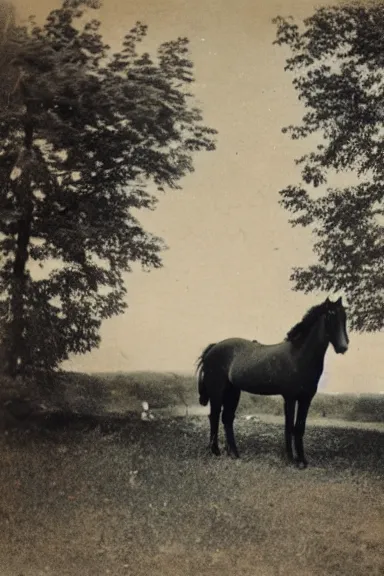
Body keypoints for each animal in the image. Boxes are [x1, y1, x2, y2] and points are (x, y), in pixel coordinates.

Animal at [196, 296, 350, 468]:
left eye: (344, 317)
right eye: (330, 316)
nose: (343, 347)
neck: (299, 356)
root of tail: (213, 347)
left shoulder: (306, 398)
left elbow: (300, 427)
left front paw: (302, 461)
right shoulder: (290, 398)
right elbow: (289, 427)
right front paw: (292, 460)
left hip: (233, 392)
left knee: (227, 418)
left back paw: (234, 454)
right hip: (217, 392)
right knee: (214, 416)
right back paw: (215, 451)